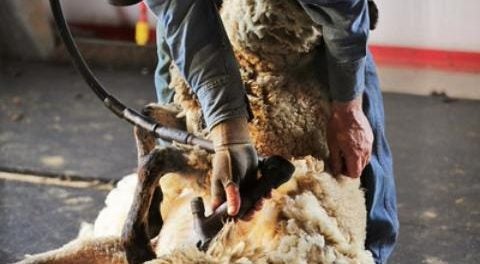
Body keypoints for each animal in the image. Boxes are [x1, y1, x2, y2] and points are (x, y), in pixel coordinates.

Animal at [18, 1, 374, 262]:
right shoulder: (200, 136)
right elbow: (147, 124)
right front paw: (151, 216)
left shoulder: (213, 165)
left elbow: (157, 158)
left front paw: (139, 235)